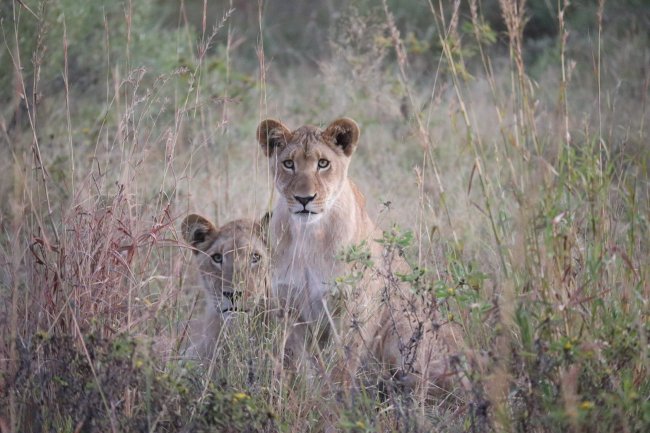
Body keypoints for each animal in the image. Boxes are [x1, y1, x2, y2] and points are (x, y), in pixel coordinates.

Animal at [257, 117, 468, 398]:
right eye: (288, 163)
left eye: (323, 163)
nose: (304, 199)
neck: (307, 236)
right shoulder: (289, 307)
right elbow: (301, 365)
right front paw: (301, 395)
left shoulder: (355, 306)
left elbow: (342, 366)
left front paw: (337, 403)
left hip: (404, 326)